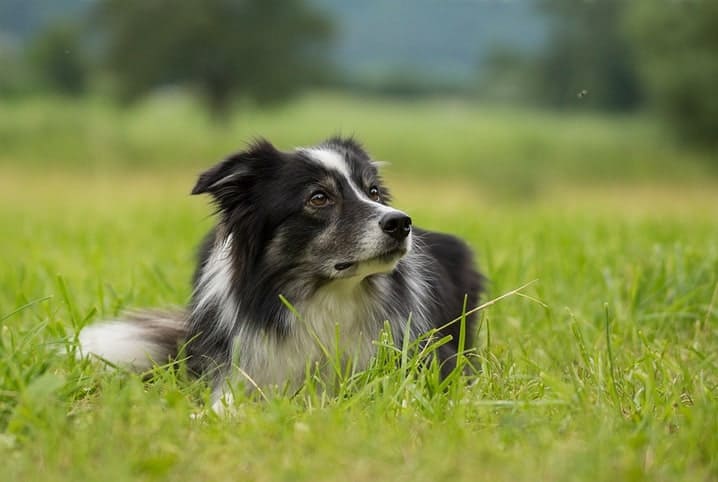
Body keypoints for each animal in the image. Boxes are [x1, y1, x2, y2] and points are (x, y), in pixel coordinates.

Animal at [77, 137, 484, 412]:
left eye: (373, 193)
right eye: (318, 198)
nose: (401, 223)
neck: (324, 295)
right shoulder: (240, 371)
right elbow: (223, 404)